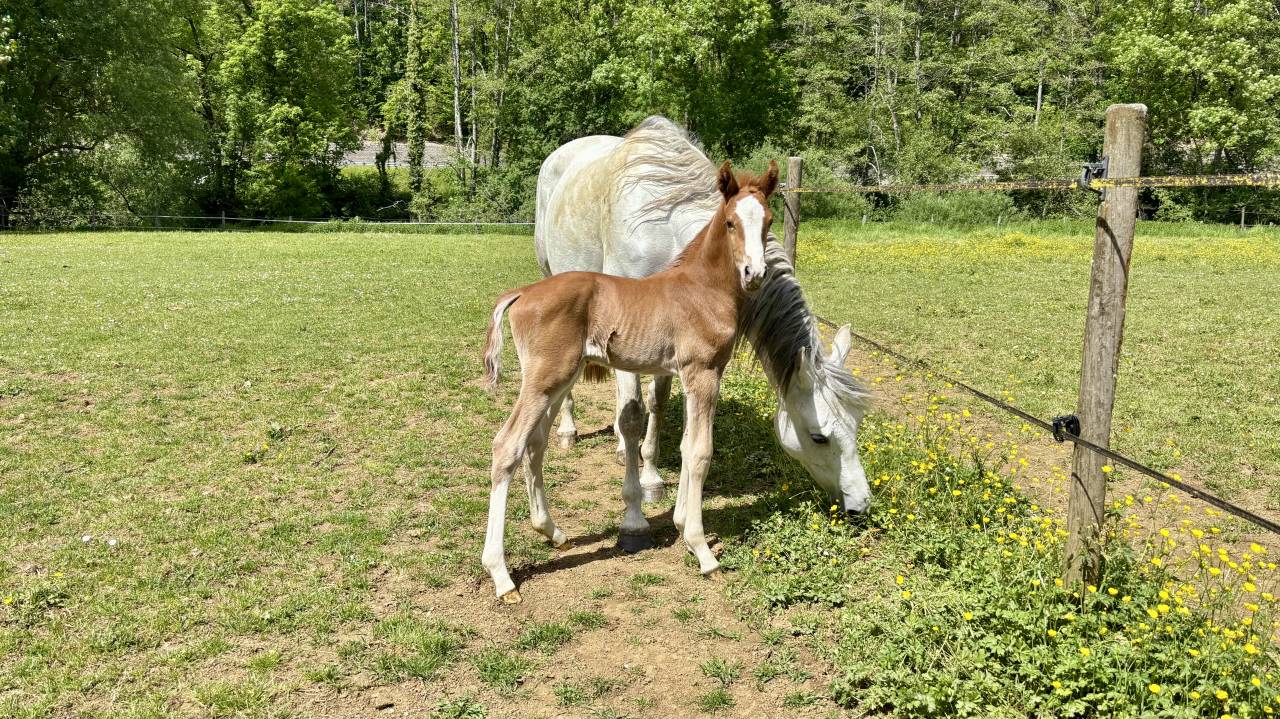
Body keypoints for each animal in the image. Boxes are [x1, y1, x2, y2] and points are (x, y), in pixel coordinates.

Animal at [482, 162, 786, 603]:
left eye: (768, 221)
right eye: (730, 222)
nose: (755, 273)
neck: (702, 289)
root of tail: (522, 293)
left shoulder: (686, 375)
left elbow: (685, 446)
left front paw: (680, 524)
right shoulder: (703, 372)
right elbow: (700, 452)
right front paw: (702, 550)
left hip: (558, 380)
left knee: (534, 444)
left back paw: (553, 532)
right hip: (544, 379)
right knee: (507, 446)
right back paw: (501, 576)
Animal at [535, 116, 871, 511]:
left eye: (857, 424)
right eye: (819, 437)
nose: (861, 503)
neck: (665, 225)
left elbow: (657, 404)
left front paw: (650, 474)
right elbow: (633, 414)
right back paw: (568, 431)